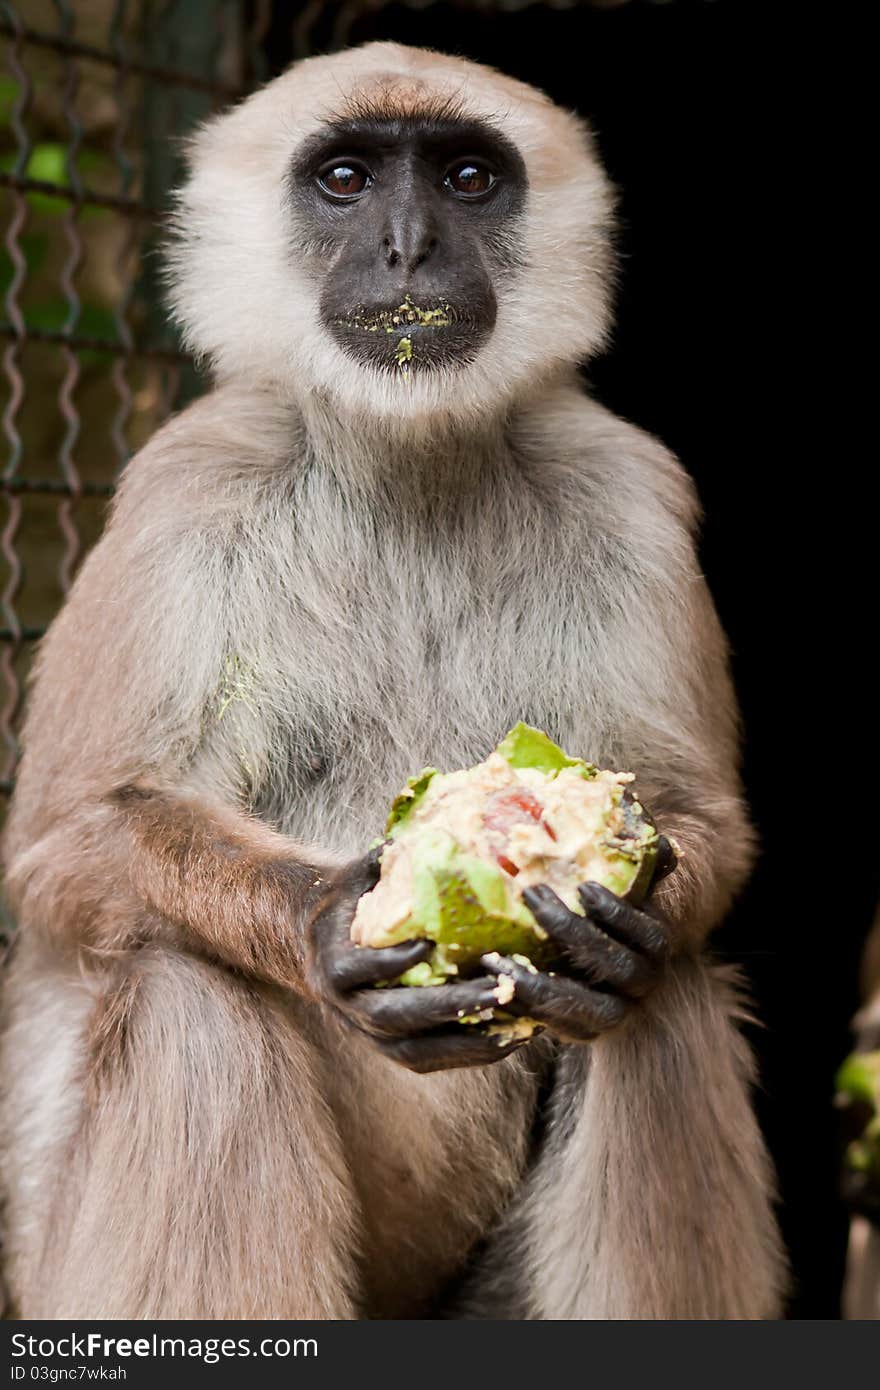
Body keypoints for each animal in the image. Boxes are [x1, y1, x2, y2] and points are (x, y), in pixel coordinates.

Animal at [0, 43, 784, 1317]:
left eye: (467, 179)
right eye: (347, 180)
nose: (408, 245)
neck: (403, 465)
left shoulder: (625, 485)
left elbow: (687, 814)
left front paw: (619, 927)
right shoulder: (187, 483)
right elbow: (62, 848)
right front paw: (322, 921)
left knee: (661, 1001)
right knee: (189, 992)